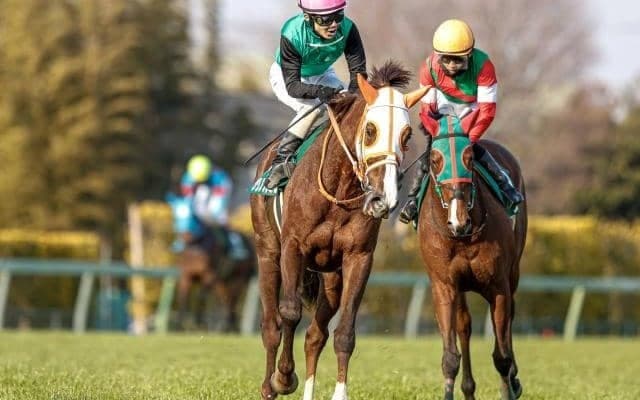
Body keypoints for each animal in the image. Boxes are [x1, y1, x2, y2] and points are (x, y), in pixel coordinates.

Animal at [167, 195, 256, 332]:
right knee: (226, 298)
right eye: (176, 217)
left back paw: (230, 325)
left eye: (191, 216)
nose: (185, 236)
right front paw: (180, 325)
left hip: (240, 278)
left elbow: (201, 295)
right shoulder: (186, 276)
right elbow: (183, 297)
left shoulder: (209, 274)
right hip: (222, 281)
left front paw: (198, 322)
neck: (196, 247)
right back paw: (226, 326)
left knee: (233, 300)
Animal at [250, 61, 429, 400]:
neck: (338, 190)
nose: (383, 198)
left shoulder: (358, 258)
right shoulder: (293, 247)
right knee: (271, 324)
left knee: (315, 334)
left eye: (407, 134)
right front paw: (284, 377)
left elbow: (344, 333)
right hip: (268, 253)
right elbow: (289, 312)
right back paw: (269, 385)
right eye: (370, 130)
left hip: (331, 277)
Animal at [416, 114, 528, 400]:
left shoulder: (498, 286)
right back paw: (469, 389)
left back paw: (514, 380)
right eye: (435, 159)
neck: (462, 237)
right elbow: (450, 356)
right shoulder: (444, 285)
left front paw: (509, 386)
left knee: (509, 322)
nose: (459, 221)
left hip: (513, 273)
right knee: (464, 326)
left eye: (468, 157)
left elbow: (501, 356)